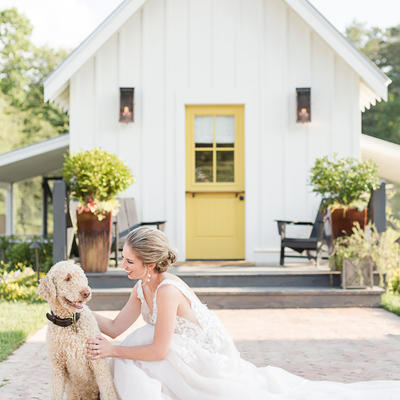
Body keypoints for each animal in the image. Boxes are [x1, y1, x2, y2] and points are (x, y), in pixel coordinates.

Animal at [37, 260, 119, 400]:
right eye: (67, 278)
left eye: (82, 277)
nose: (86, 292)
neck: (71, 322)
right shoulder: (58, 367)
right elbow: (55, 393)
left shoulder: (98, 362)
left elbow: (108, 392)